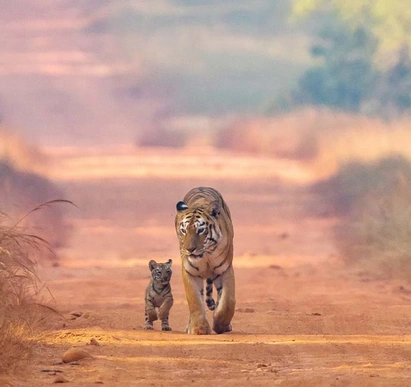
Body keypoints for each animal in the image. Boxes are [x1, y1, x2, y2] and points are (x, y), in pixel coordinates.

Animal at [175, 187, 237, 334]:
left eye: (200, 230)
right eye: (184, 230)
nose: (189, 249)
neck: (205, 255)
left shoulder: (225, 270)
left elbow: (228, 302)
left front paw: (220, 325)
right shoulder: (189, 272)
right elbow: (195, 301)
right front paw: (199, 329)